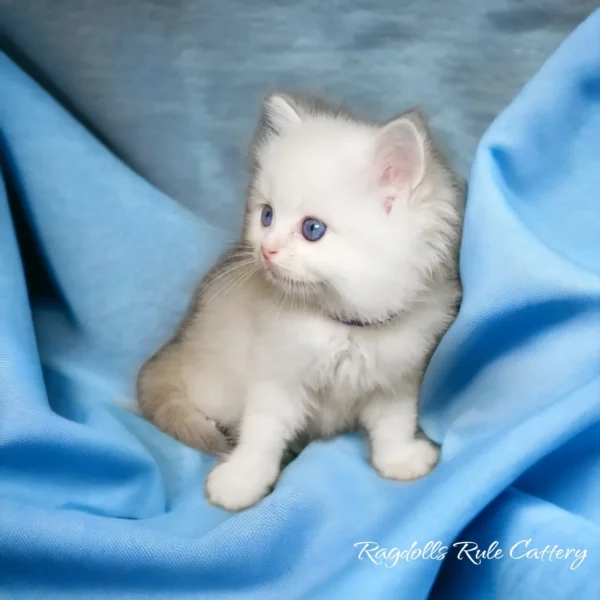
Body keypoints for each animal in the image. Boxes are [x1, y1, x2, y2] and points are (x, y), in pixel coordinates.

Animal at [137, 92, 464, 510]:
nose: (266, 250)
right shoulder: (277, 376)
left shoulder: (397, 375)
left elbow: (395, 422)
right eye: (266, 215)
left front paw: (400, 459)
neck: (345, 326)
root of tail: (176, 346)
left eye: (312, 229)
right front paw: (241, 481)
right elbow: (261, 434)